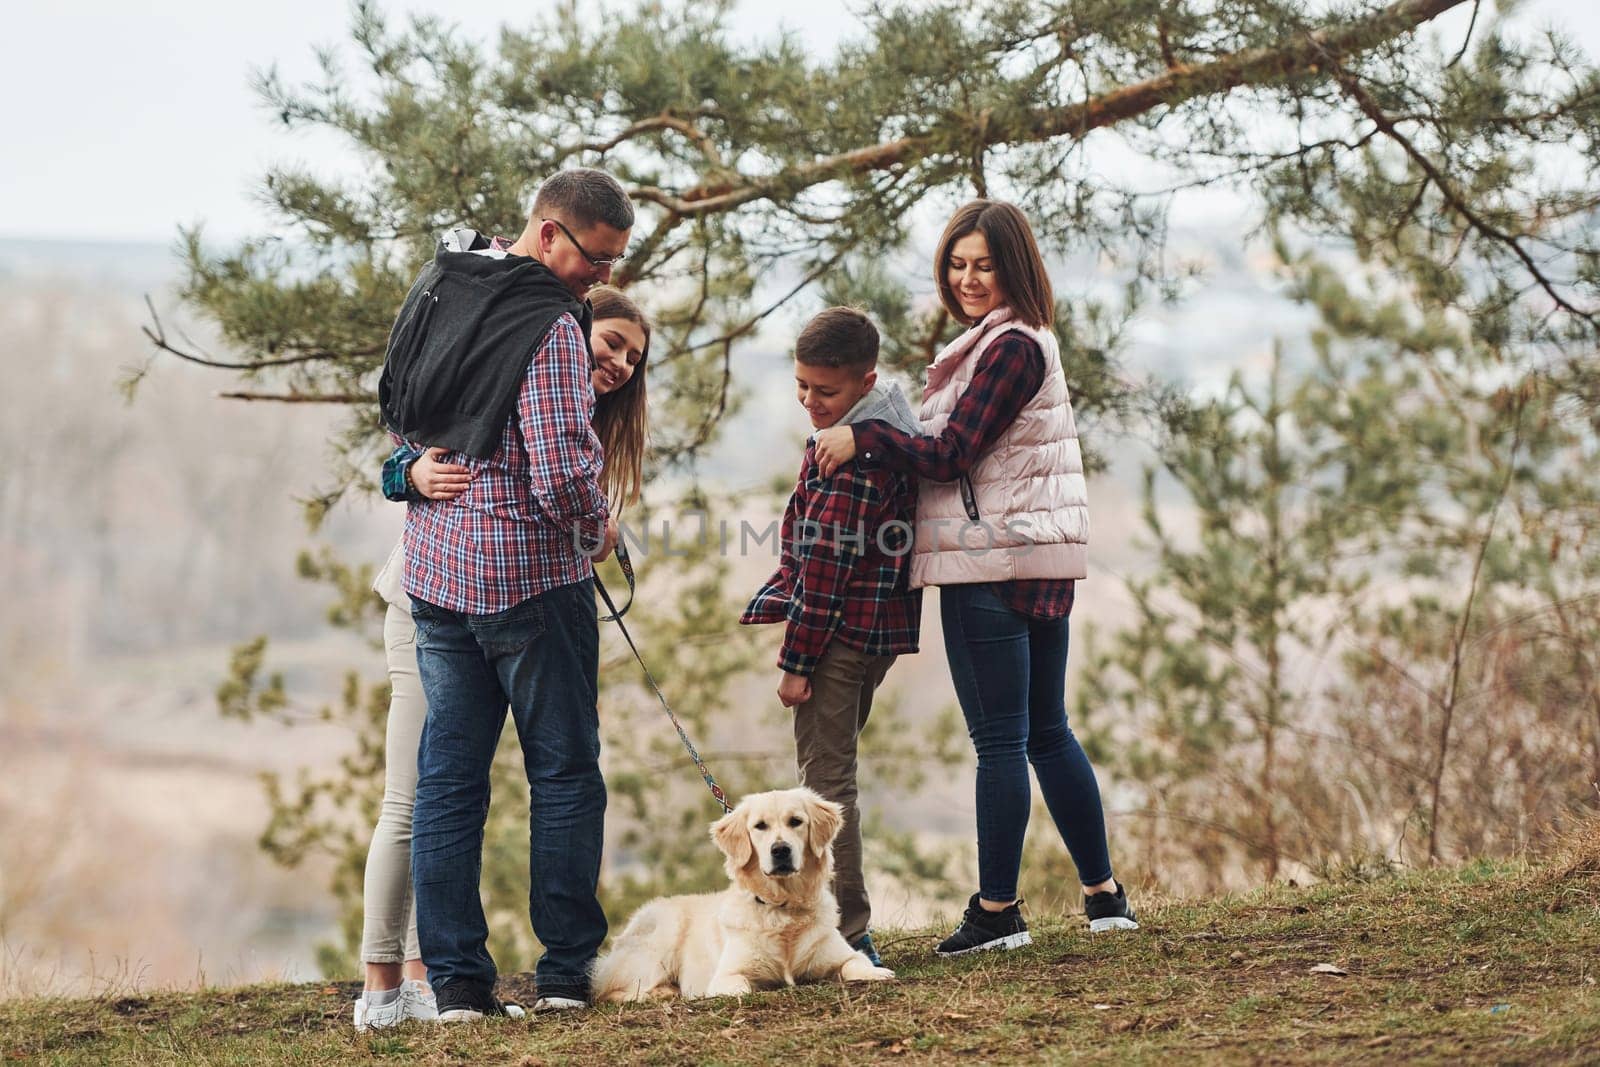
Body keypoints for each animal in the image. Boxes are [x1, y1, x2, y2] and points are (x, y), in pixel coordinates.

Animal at [592, 783, 902, 1004]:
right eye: (760, 826)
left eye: (796, 821)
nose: (780, 850)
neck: (782, 908)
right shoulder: (728, 975)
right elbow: (742, 988)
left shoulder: (841, 955)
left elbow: (855, 964)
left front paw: (878, 973)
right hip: (661, 939)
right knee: (610, 991)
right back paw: (661, 992)